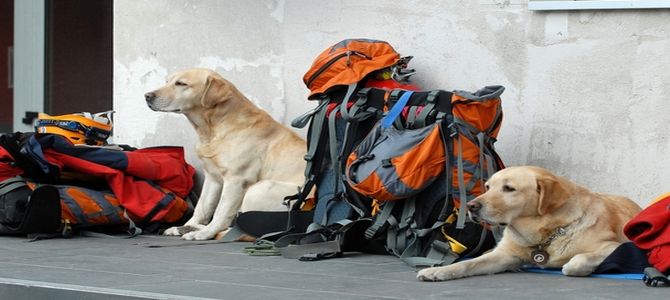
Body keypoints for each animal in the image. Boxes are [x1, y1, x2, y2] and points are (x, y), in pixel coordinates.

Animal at [147, 68, 308, 241]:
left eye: (181, 83)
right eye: (167, 81)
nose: (147, 96)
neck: (211, 130)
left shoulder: (236, 180)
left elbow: (220, 212)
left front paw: (205, 233)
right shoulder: (212, 177)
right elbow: (202, 207)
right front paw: (189, 226)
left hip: (258, 191)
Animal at [418, 166, 644, 282]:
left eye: (509, 188)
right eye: (488, 187)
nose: (471, 206)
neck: (546, 234)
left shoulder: (614, 247)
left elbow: (576, 261)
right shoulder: (505, 255)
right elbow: (467, 263)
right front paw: (437, 271)